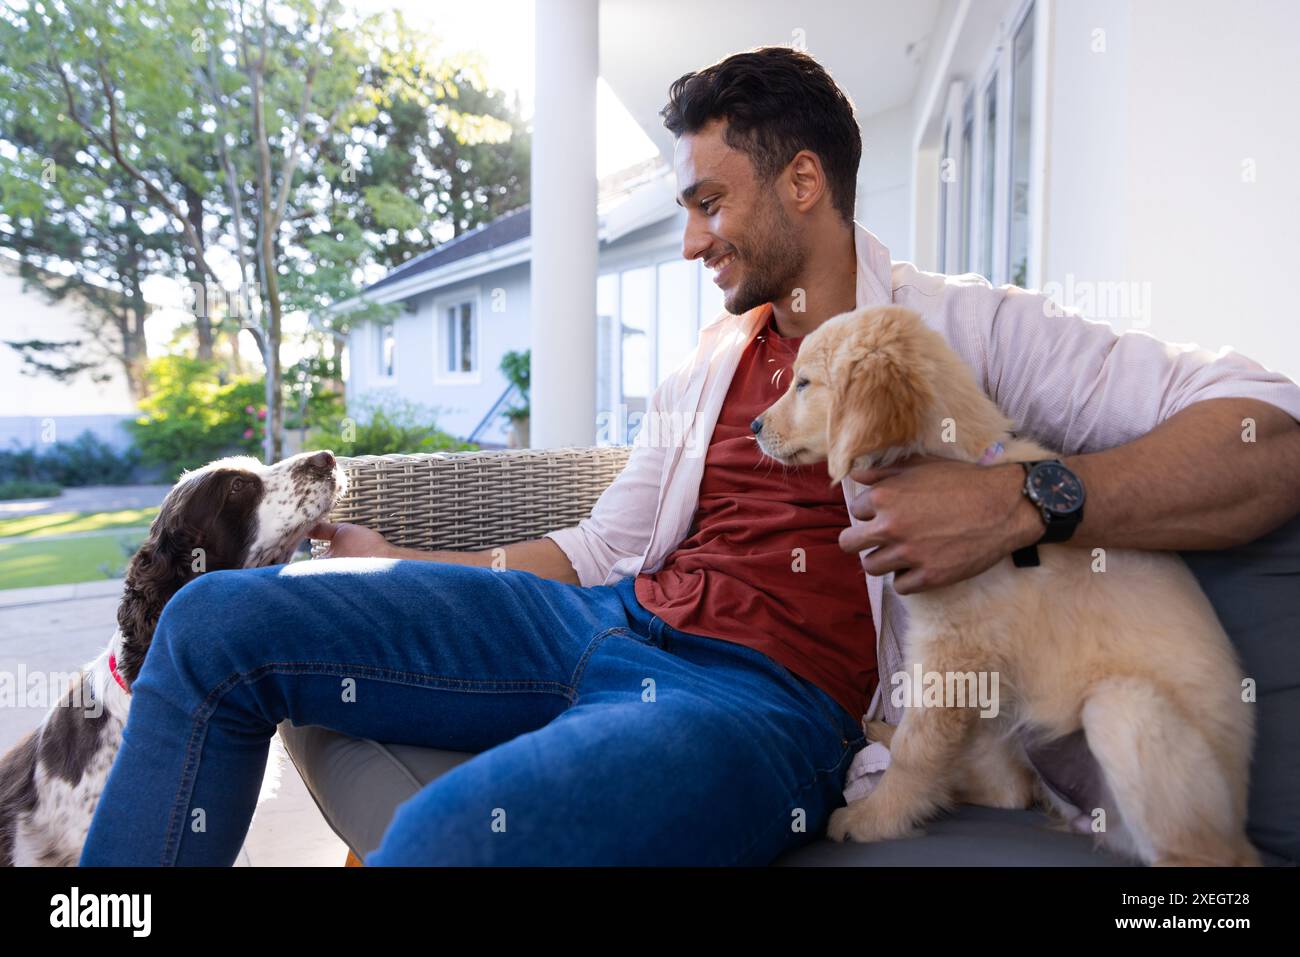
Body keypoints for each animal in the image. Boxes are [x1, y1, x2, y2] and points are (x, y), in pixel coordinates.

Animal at [754, 304, 1258, 868]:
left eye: (803, 383)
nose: (753, 426)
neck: (951, 456)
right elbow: (929, 740)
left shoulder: (955, 652)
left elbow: (917, 749)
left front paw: (873, 818)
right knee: (1009, 789)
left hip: (1124, 710)